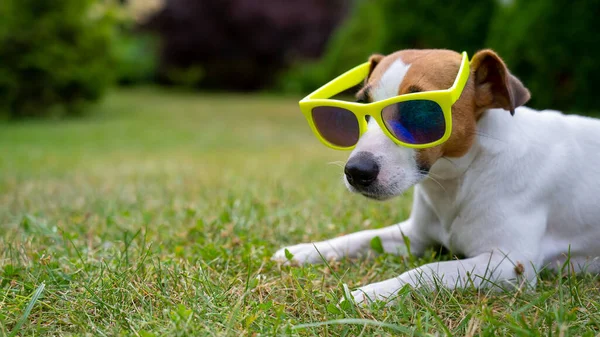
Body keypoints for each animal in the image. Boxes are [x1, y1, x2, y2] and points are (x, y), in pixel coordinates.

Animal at [274, 48, 600, 304]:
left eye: (421, 114)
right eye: (362, 108)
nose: (356, 172)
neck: (464, 177)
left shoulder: (510, 264)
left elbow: (428, 270)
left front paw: (372, 292)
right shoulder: (415, 236)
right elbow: (358, 238)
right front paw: (306, 250)